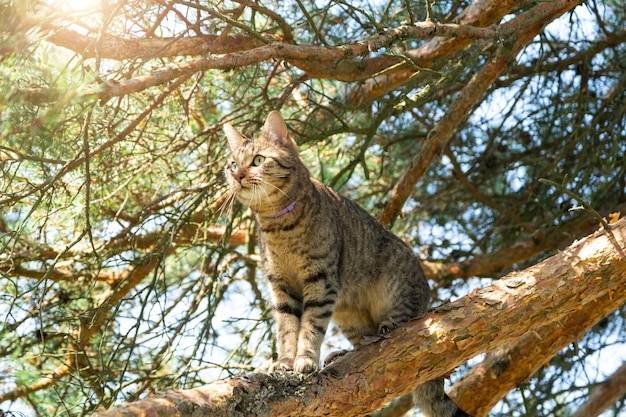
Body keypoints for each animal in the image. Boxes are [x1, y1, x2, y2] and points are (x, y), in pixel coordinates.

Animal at [222, 110, 470, 416]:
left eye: (257, 160)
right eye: (233, 164)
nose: (238, 175)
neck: (278, 224)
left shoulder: (321, 279)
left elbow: (311, 326)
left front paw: (305, 359)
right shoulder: (281, 285)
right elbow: (287, 327)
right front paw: (285, 361)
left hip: (396, 282)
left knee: (403, 322)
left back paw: (389, 327)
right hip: (347, 314)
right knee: (362, 341)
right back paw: (342, 352)